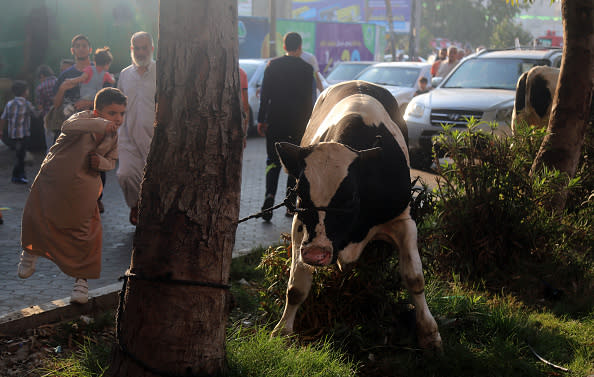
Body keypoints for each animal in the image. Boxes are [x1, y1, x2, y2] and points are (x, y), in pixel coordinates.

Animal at [272, 79, 440, 350]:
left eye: (350, 197)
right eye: (301, 192)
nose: (316, 253)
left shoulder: (403, 220)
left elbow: (414, 278)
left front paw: (430, 333)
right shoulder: (300, 224)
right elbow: (296, 287)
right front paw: (282, 331)